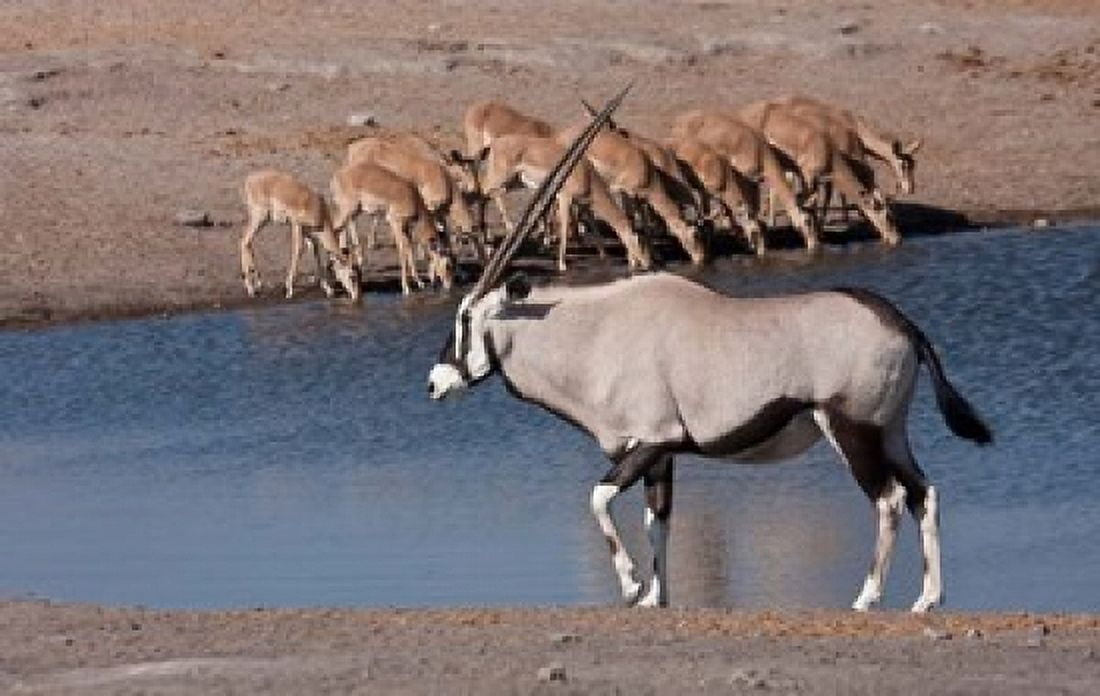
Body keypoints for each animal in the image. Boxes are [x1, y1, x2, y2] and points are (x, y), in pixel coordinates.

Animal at [239, 169, 360, 301]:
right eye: (352, 276)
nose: (356, 297)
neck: (319, 210)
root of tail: (249, 179)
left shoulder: (310, 234)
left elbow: (316, 255)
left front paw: (329, 290)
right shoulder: (296, 225)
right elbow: (297, 251)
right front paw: (289, 291)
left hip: (263, 219)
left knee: (247, 242)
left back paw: (257, 285)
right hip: (259, 217)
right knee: (244, 240)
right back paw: (251, 289)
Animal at [330, 161, 454, 295]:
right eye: (448, 265)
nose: (449, 286)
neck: (413, 197)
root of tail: (338, 176)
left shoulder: (406, 227)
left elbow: (410, 250)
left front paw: (420, 283)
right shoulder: (396, 223)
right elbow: (402, 252)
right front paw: (406, 288)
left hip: (353, 213)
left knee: (340, 231)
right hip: (347, 211)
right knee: (333, 229)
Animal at [479, 134, 652, 271]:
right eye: (638, 240)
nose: (648, 264)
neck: (587, 175)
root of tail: (494, 144)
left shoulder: (584, 204)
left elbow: (594, 226)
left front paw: (604, 255)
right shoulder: (564, 198)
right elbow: (564, 229)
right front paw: (562, 264)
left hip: (514, 182)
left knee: (487, 194)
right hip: (501, 179)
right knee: (484, 191)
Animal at [671, 110, 821, 252]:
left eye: (814, 219)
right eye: (807, 221)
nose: (814, 245)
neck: (759, 151)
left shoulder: (753, 181)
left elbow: (754, 207)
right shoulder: (743, 179)